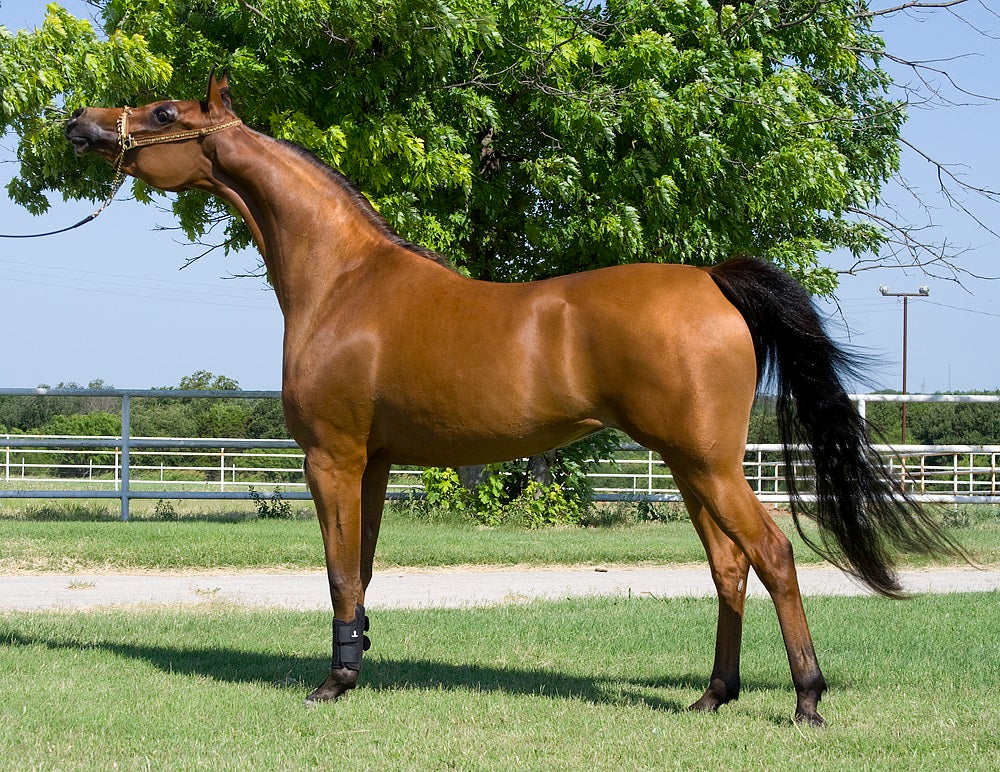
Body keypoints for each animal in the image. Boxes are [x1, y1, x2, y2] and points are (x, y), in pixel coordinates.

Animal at [65, 71, 960, 726]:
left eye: (164, 110)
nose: (78, 122)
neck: (344, 281)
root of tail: (712, 280)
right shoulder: (376, 463)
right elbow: (362, 568)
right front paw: (355, 664)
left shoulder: (334, 457)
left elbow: (338, 570)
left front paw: (333, 682)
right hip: (688, 465)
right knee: (728, 566)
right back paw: (713, 695)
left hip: (709, 463)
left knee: (771, 556)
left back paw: (807, 699)